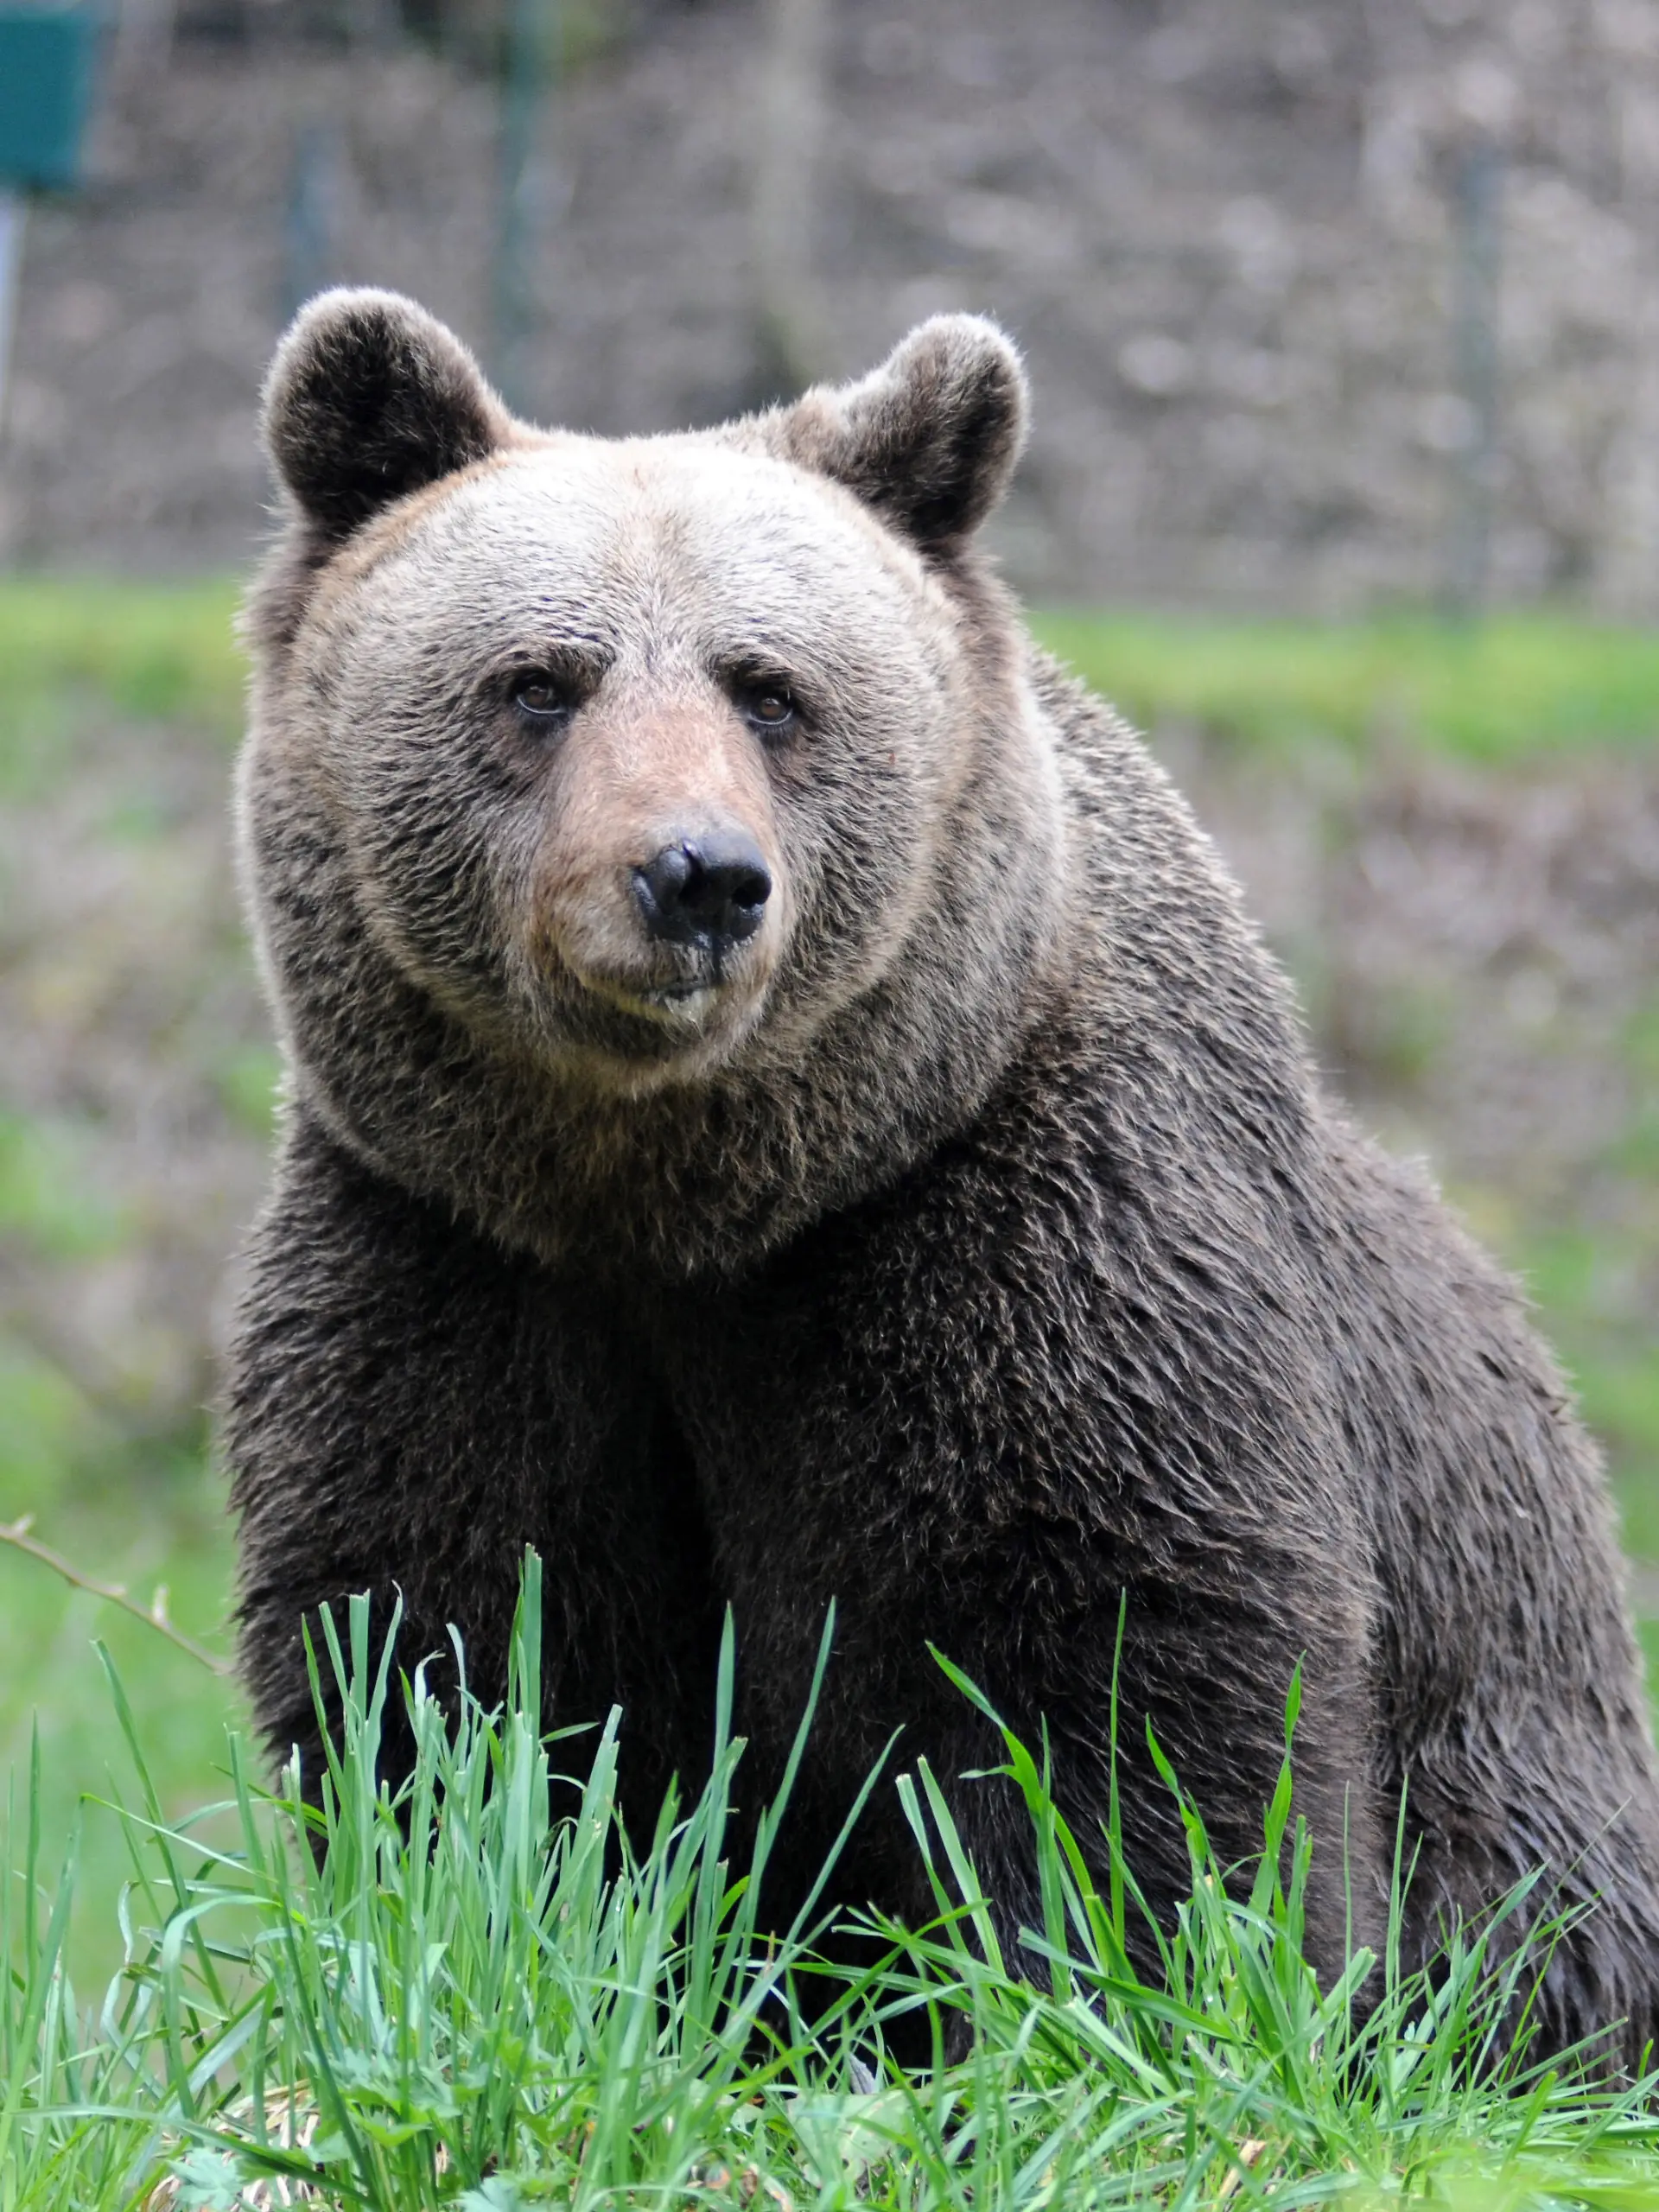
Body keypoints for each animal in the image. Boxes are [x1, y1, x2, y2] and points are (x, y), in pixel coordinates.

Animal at [227, 286, 1659, 2071]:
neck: (686, 1198)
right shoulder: (450, 1252)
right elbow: (458, 1659)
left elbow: (1110, 1669)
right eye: (538, 681)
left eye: (770, 689)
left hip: (1527, 1770)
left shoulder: (1018, 1231)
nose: (697, 877)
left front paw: (1099, 2006)